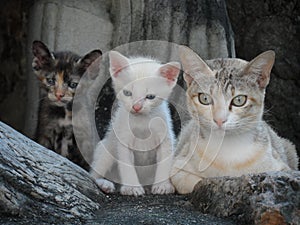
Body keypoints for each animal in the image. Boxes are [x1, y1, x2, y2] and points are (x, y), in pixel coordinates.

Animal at [31, 40, 102, 171]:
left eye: (73, 84)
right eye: (50, 81)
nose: (59, 95)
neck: (66, 113)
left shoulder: (86, 137)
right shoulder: (45, 131)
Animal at [89, 50, 180, 195]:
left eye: (150, 97)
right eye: (127, 93)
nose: (136, 107)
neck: (142, 121)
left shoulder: (165, 137)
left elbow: (164, 162)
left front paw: (163, 185)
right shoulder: (123, 139)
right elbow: (126, 164)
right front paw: (132, 187)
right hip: (106, 149)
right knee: (93, 174)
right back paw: (104, 184)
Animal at [170, 45, 298, 193]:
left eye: (239, 100)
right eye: (205, 98)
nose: (219, 120)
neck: (228, 148)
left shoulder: (282, 169)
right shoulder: (178, 168)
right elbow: (193, 183)